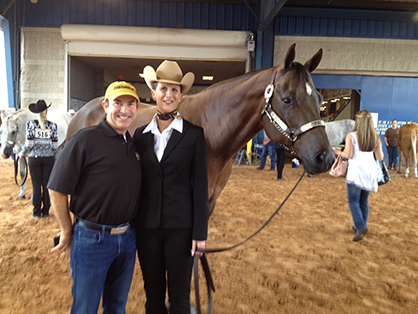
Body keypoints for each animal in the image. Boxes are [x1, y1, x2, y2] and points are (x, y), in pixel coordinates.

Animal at [66, 43, 334, 216]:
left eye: (320, 97)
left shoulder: (210, 203)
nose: (326, 157)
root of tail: (81, 112)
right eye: (287, 99)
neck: (212, 136)